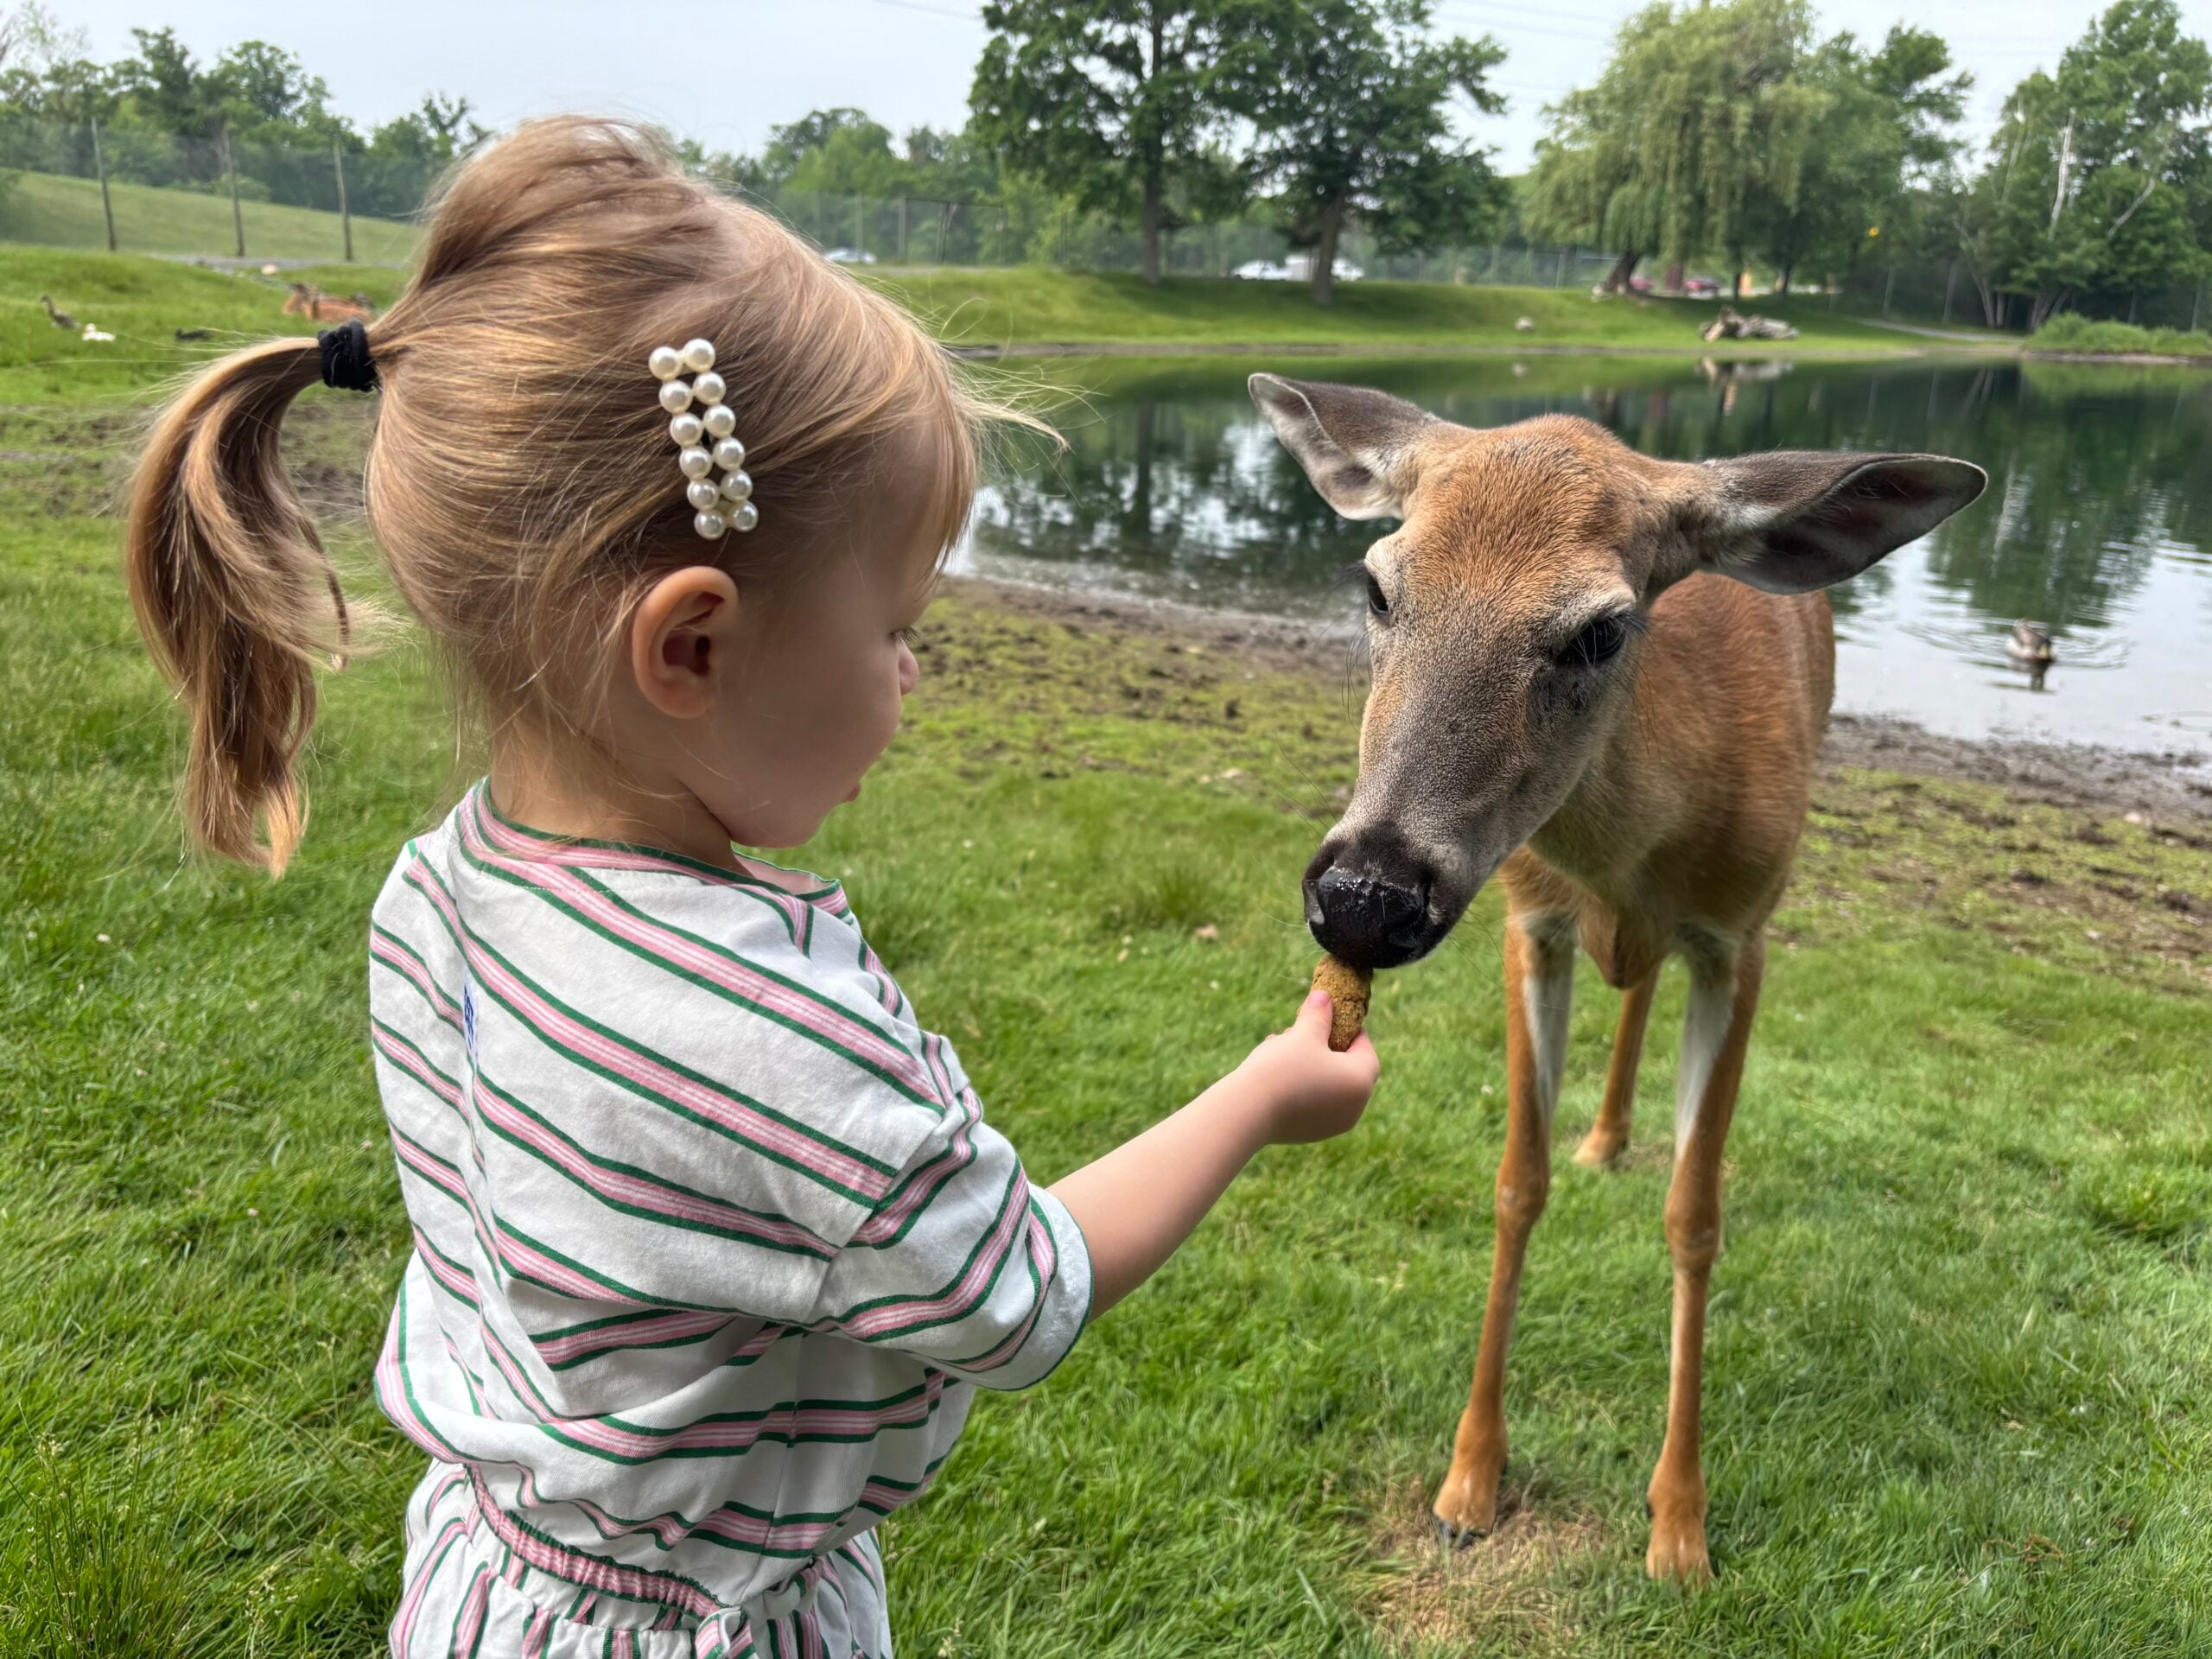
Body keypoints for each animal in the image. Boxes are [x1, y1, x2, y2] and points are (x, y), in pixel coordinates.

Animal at [1249, 373, 1986, 1584]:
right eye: (1374, 584)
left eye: (1601, 629)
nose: (1365, 896)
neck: (1632, 852)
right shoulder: (1529, 918)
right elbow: (1516, 1180)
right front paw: (1467, 1483)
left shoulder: (1741, 938)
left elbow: (1696, 1214)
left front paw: (1680, 1529)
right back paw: (1602, 1136)